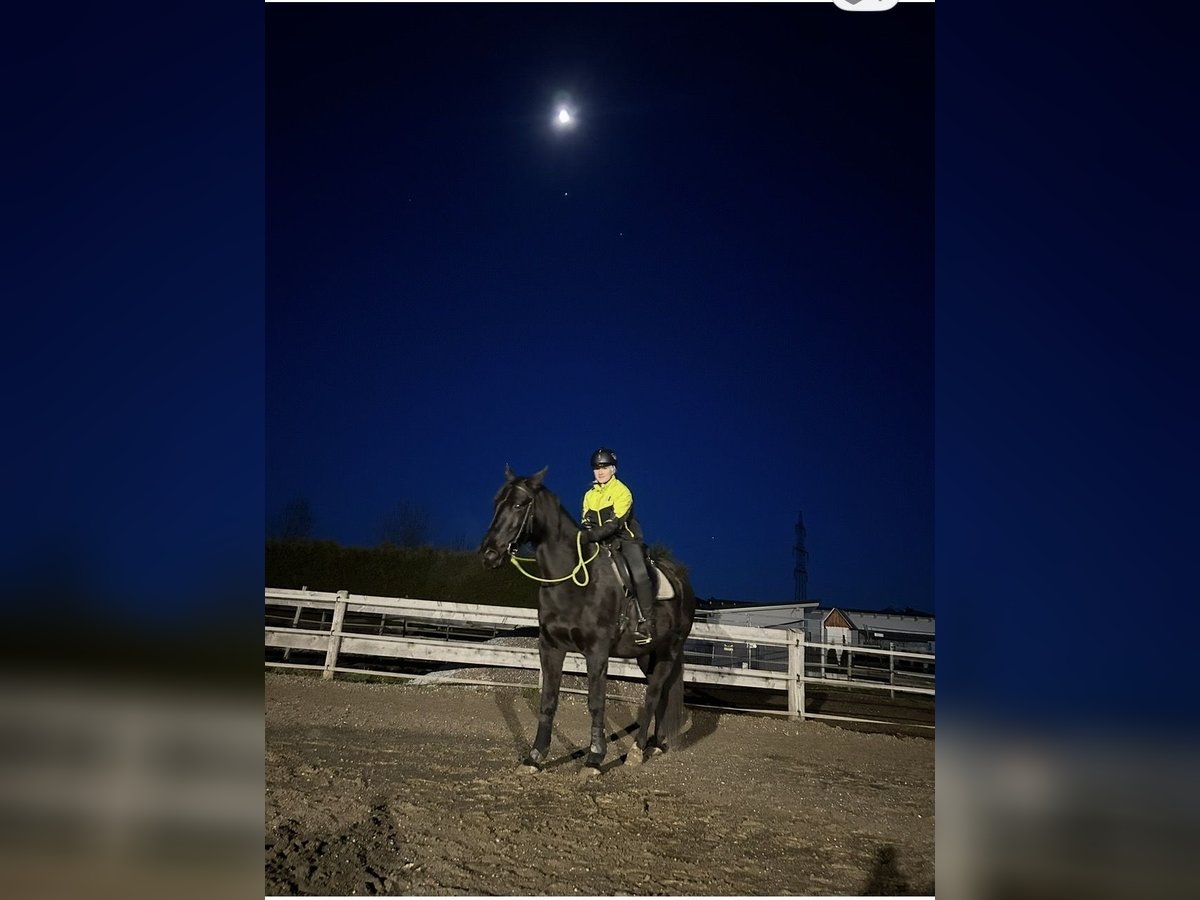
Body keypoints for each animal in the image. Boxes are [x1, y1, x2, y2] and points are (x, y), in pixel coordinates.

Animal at [478, 466, 697, 776]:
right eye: (496, 503)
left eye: (520, 504)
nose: (489, 554)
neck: (573, 581)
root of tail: (682, 582)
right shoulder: (550, 648)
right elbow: (548, 701)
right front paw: (535, 756)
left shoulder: (596, 652)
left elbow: (596, 703)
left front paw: (594, 759)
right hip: (647, 655)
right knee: (662, 694)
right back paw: (655, 743)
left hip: (669, 651)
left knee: (654, 694)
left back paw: (636, 751)